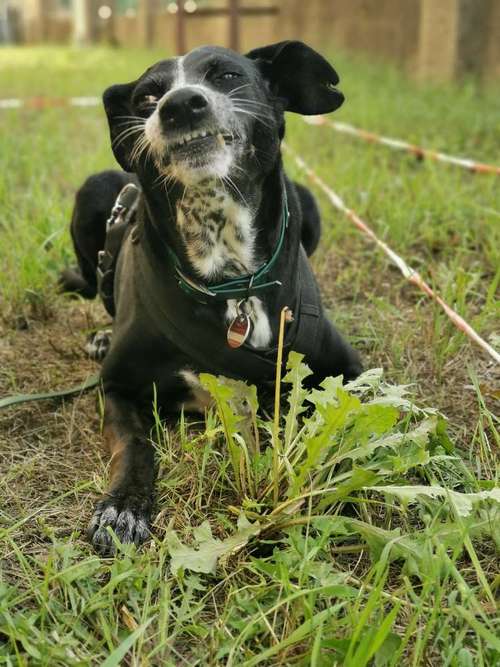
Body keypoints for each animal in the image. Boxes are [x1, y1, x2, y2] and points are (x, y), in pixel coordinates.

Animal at [60, 40, 362, 552]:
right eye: (146, 97)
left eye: (227, 76)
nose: (180, 105)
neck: (229, 277)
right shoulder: (117, 385)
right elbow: (135, 443)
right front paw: (123, 507)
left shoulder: (350, 369)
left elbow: (353, 424)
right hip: (92, 192)